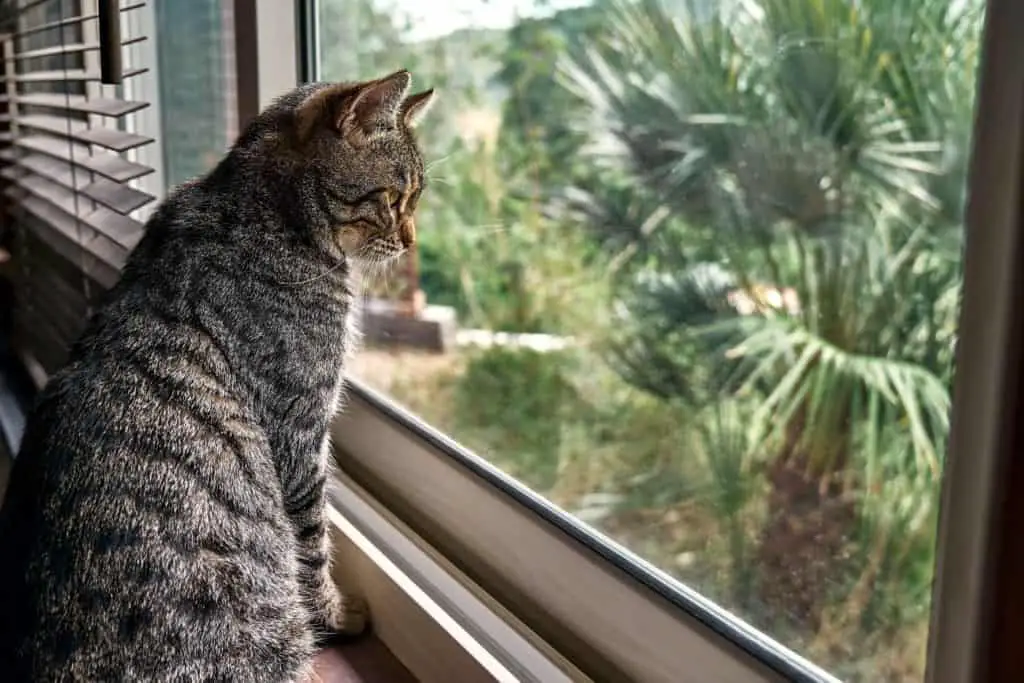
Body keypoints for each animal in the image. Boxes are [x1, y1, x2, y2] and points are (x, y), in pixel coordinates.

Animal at [0, 70, 436, 683]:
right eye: (395, 198)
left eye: (416, 198)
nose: (411, 240)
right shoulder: (300, 437)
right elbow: (313, 543)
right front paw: (334, 613)